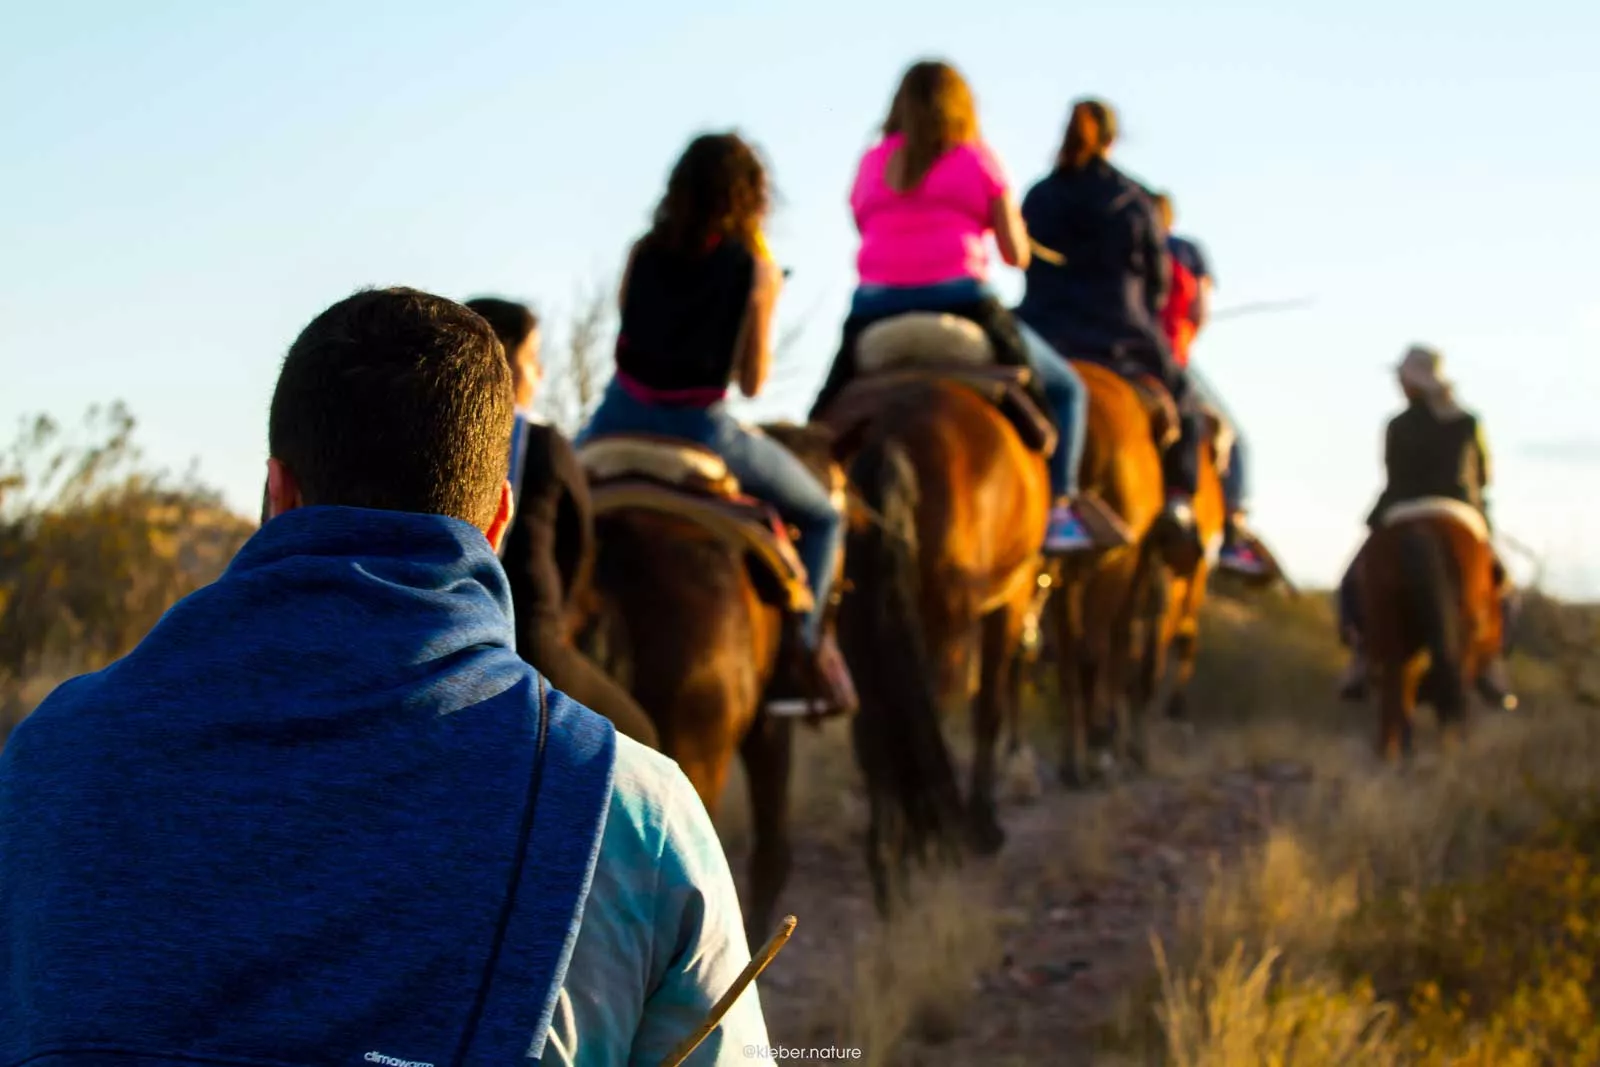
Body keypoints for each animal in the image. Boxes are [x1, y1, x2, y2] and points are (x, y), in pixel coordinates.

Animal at [825, 371, 1049, 915]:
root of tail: (889, 429)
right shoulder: (1007, 601)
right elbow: (988, 709)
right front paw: (983, 824)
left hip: (855, 625)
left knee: (875, 727)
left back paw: (891, 867)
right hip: (951, 617)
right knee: (937, 708)